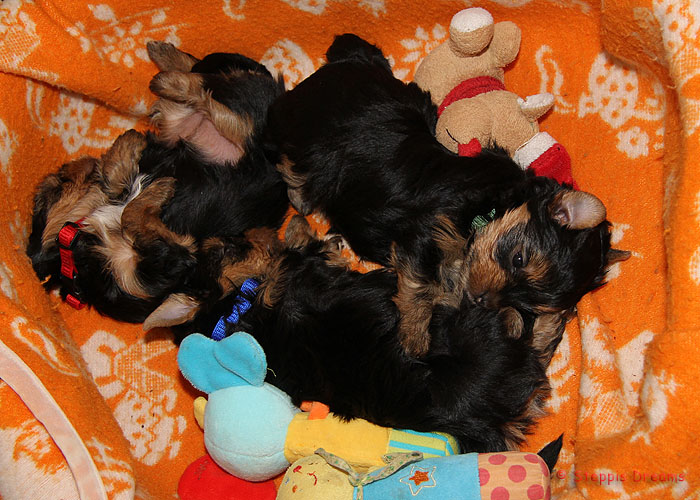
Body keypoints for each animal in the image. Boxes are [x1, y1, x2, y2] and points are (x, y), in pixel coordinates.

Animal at [26, 43, 288, 324]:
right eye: (60, 184)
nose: (72, 165)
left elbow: (121, 192)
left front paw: (128, 147)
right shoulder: (168, 263)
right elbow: (129, 211)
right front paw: (156, 187)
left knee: (208, 86)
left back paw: (163, 65)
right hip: (235, 129)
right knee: (216, 102)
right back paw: (168, 77)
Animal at [145, 215, 566, 453]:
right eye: (230, 248)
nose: (254, 229)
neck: (234, 310)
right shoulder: (298, 270)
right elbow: (302, 251)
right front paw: (302, 232)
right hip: (472, 326)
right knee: (520, 329)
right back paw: (542, 316)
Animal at [264, 34, 630, 356]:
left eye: (529, 303)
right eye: (518, 259)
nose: (482, 301)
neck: (494, 205)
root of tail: (348, 62)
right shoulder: (425, 231)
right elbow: (419, 285)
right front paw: (414, 337)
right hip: (309, 136)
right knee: (288, 158)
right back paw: (300, 193)